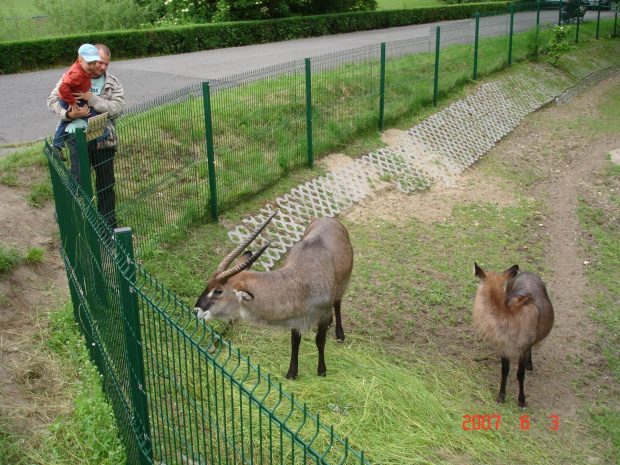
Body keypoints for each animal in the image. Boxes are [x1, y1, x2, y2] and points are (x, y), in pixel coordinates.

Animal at [196, 212, 356, 378]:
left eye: (218, 290)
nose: (197, 310)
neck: (299, 281)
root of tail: (328, 219)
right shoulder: (295, 318)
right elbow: (295, 342)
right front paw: (292, 372)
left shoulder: (322, 315)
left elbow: (320, 341)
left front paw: (322, 371)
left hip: (342, 286)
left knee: (337, 303)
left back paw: (340, 333)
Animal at [472, 262, 556, 408]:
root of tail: (527, 272)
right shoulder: (503, 348)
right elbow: (505, 370)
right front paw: (500, 397)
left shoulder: (524, 348)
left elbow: (520, 374)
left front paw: (521, 401)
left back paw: (530, 366)